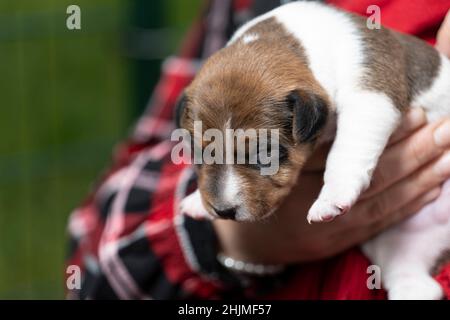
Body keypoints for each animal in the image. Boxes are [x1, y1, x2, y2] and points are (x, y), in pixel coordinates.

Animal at [175, 1, 450, 298]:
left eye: (265, 155)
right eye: (198, 153)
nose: (223, 211)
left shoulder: (372, 96)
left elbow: (346, 152)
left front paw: (331, 197)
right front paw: (196, 200)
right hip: (402, 246)